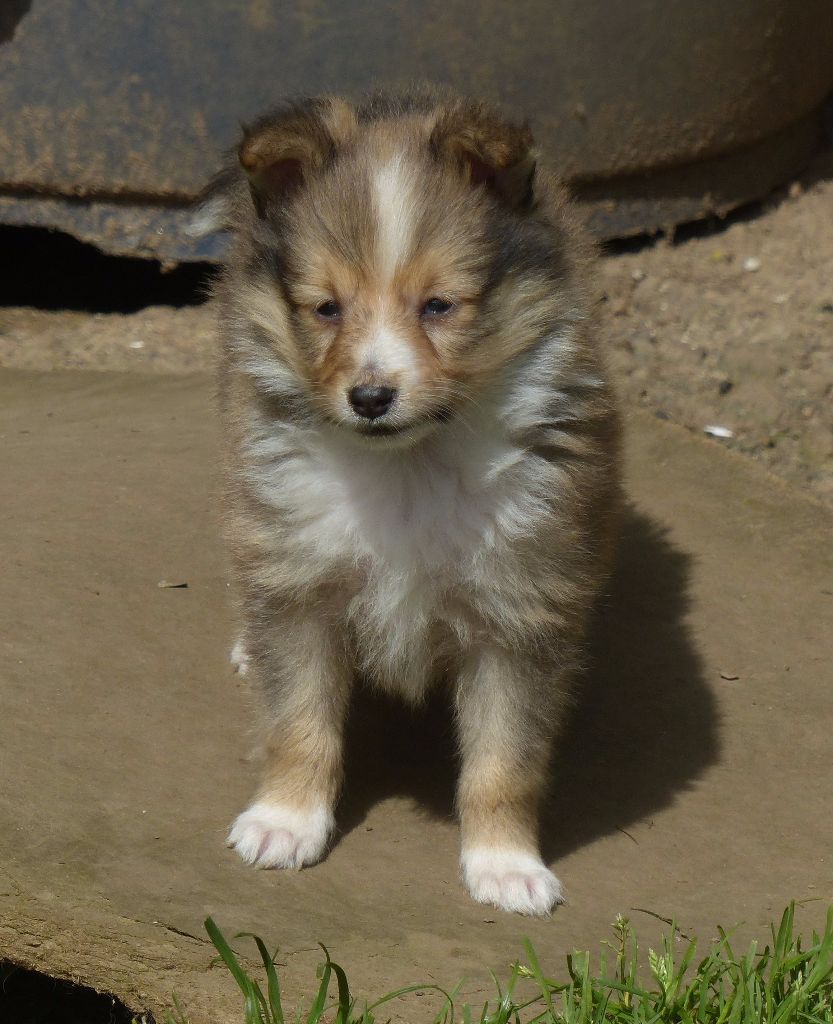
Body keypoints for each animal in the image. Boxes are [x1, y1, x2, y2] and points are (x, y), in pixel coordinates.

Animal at [205, 88, 618, 917]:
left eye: (438, 306)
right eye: (326, 308)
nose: (370, 397)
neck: (406, 466)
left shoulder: (517, 609)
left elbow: (504, 759)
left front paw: (506, 867)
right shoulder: (301, 581)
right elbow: (298, 721)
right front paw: (283, 823)